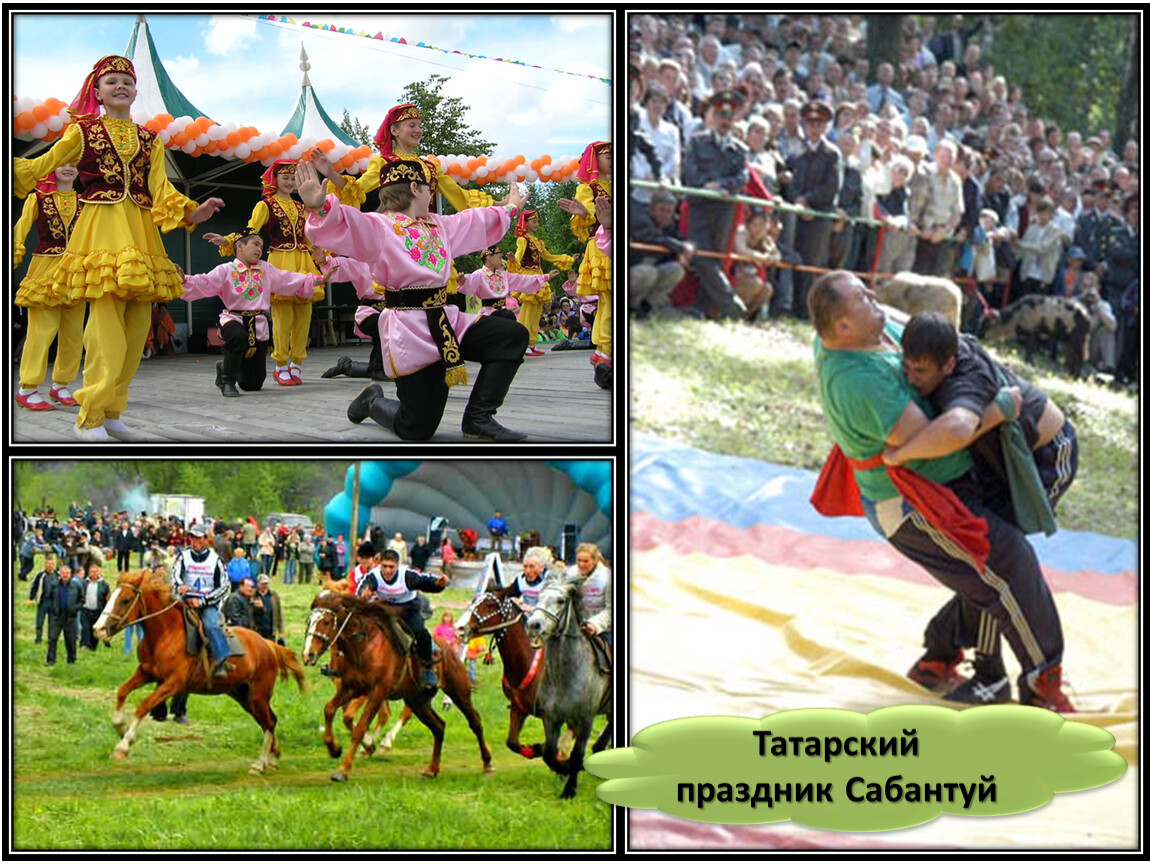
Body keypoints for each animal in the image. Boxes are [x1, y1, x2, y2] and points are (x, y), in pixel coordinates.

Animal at [92, 570, 305, 773]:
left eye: (125, 600)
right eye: (110, 596)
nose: (98, 629)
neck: (165, 634)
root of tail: (268, 644)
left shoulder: (173, 683)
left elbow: (143, 706)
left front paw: (123, 745)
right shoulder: (146, 673)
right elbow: (122, 692)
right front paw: (120, 726)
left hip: (258, 694)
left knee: (269, 722)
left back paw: (259, 764)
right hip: (243, 696)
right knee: (268, 720)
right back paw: (272, 758)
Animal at [301, 593, 489, 782]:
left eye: (326, 622)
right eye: (309, 621)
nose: (308, 654)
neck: (363, 645)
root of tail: (449, 649)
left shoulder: (376, 692)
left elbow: (360, 727)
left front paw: (344, 769)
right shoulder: (351, 688)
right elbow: (329, 709)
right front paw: (334, 748)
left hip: (458, 691)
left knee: (475, 721)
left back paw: (487, 762)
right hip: (417, 701)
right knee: (439, 727)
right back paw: (432, 769)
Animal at [526, 570, 616, 800]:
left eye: (560, 600)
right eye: (539, 597)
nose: (533, 625)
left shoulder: (586, 720)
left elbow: (577, 754)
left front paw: (569, 789)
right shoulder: (551, 718)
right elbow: (549, 753)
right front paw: (562, 769)